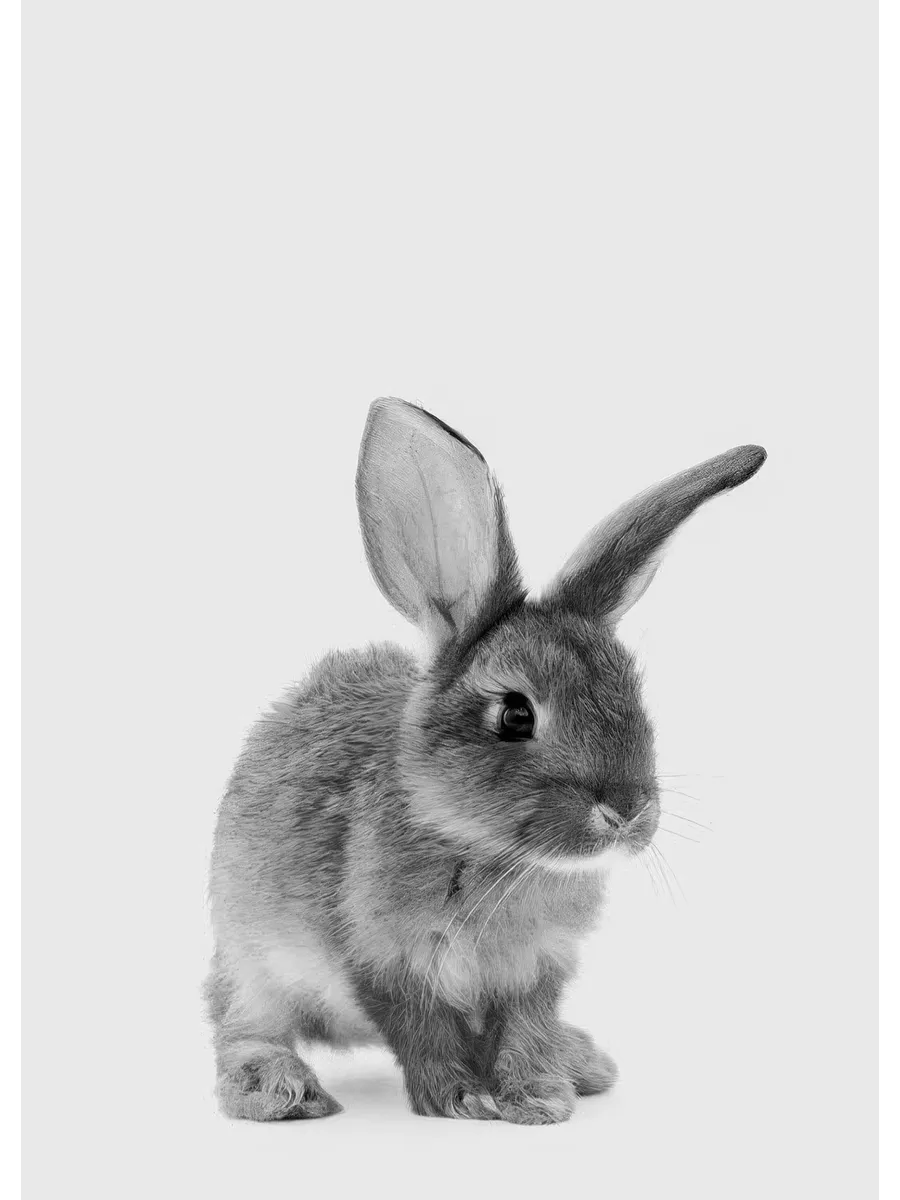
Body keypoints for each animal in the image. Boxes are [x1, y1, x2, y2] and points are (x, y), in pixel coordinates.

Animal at [205, 397, 766, 1125]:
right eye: (515, 715)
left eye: (632, 692)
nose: (627, 812)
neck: (487, 851)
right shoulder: (386, 964)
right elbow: (424, 1035)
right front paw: (463, 1099)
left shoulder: (535, 972)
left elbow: (524, 1030)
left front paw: (538, 1095)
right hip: (253, 959)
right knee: (241, 1024)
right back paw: (277, 1087)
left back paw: (581, 1061)